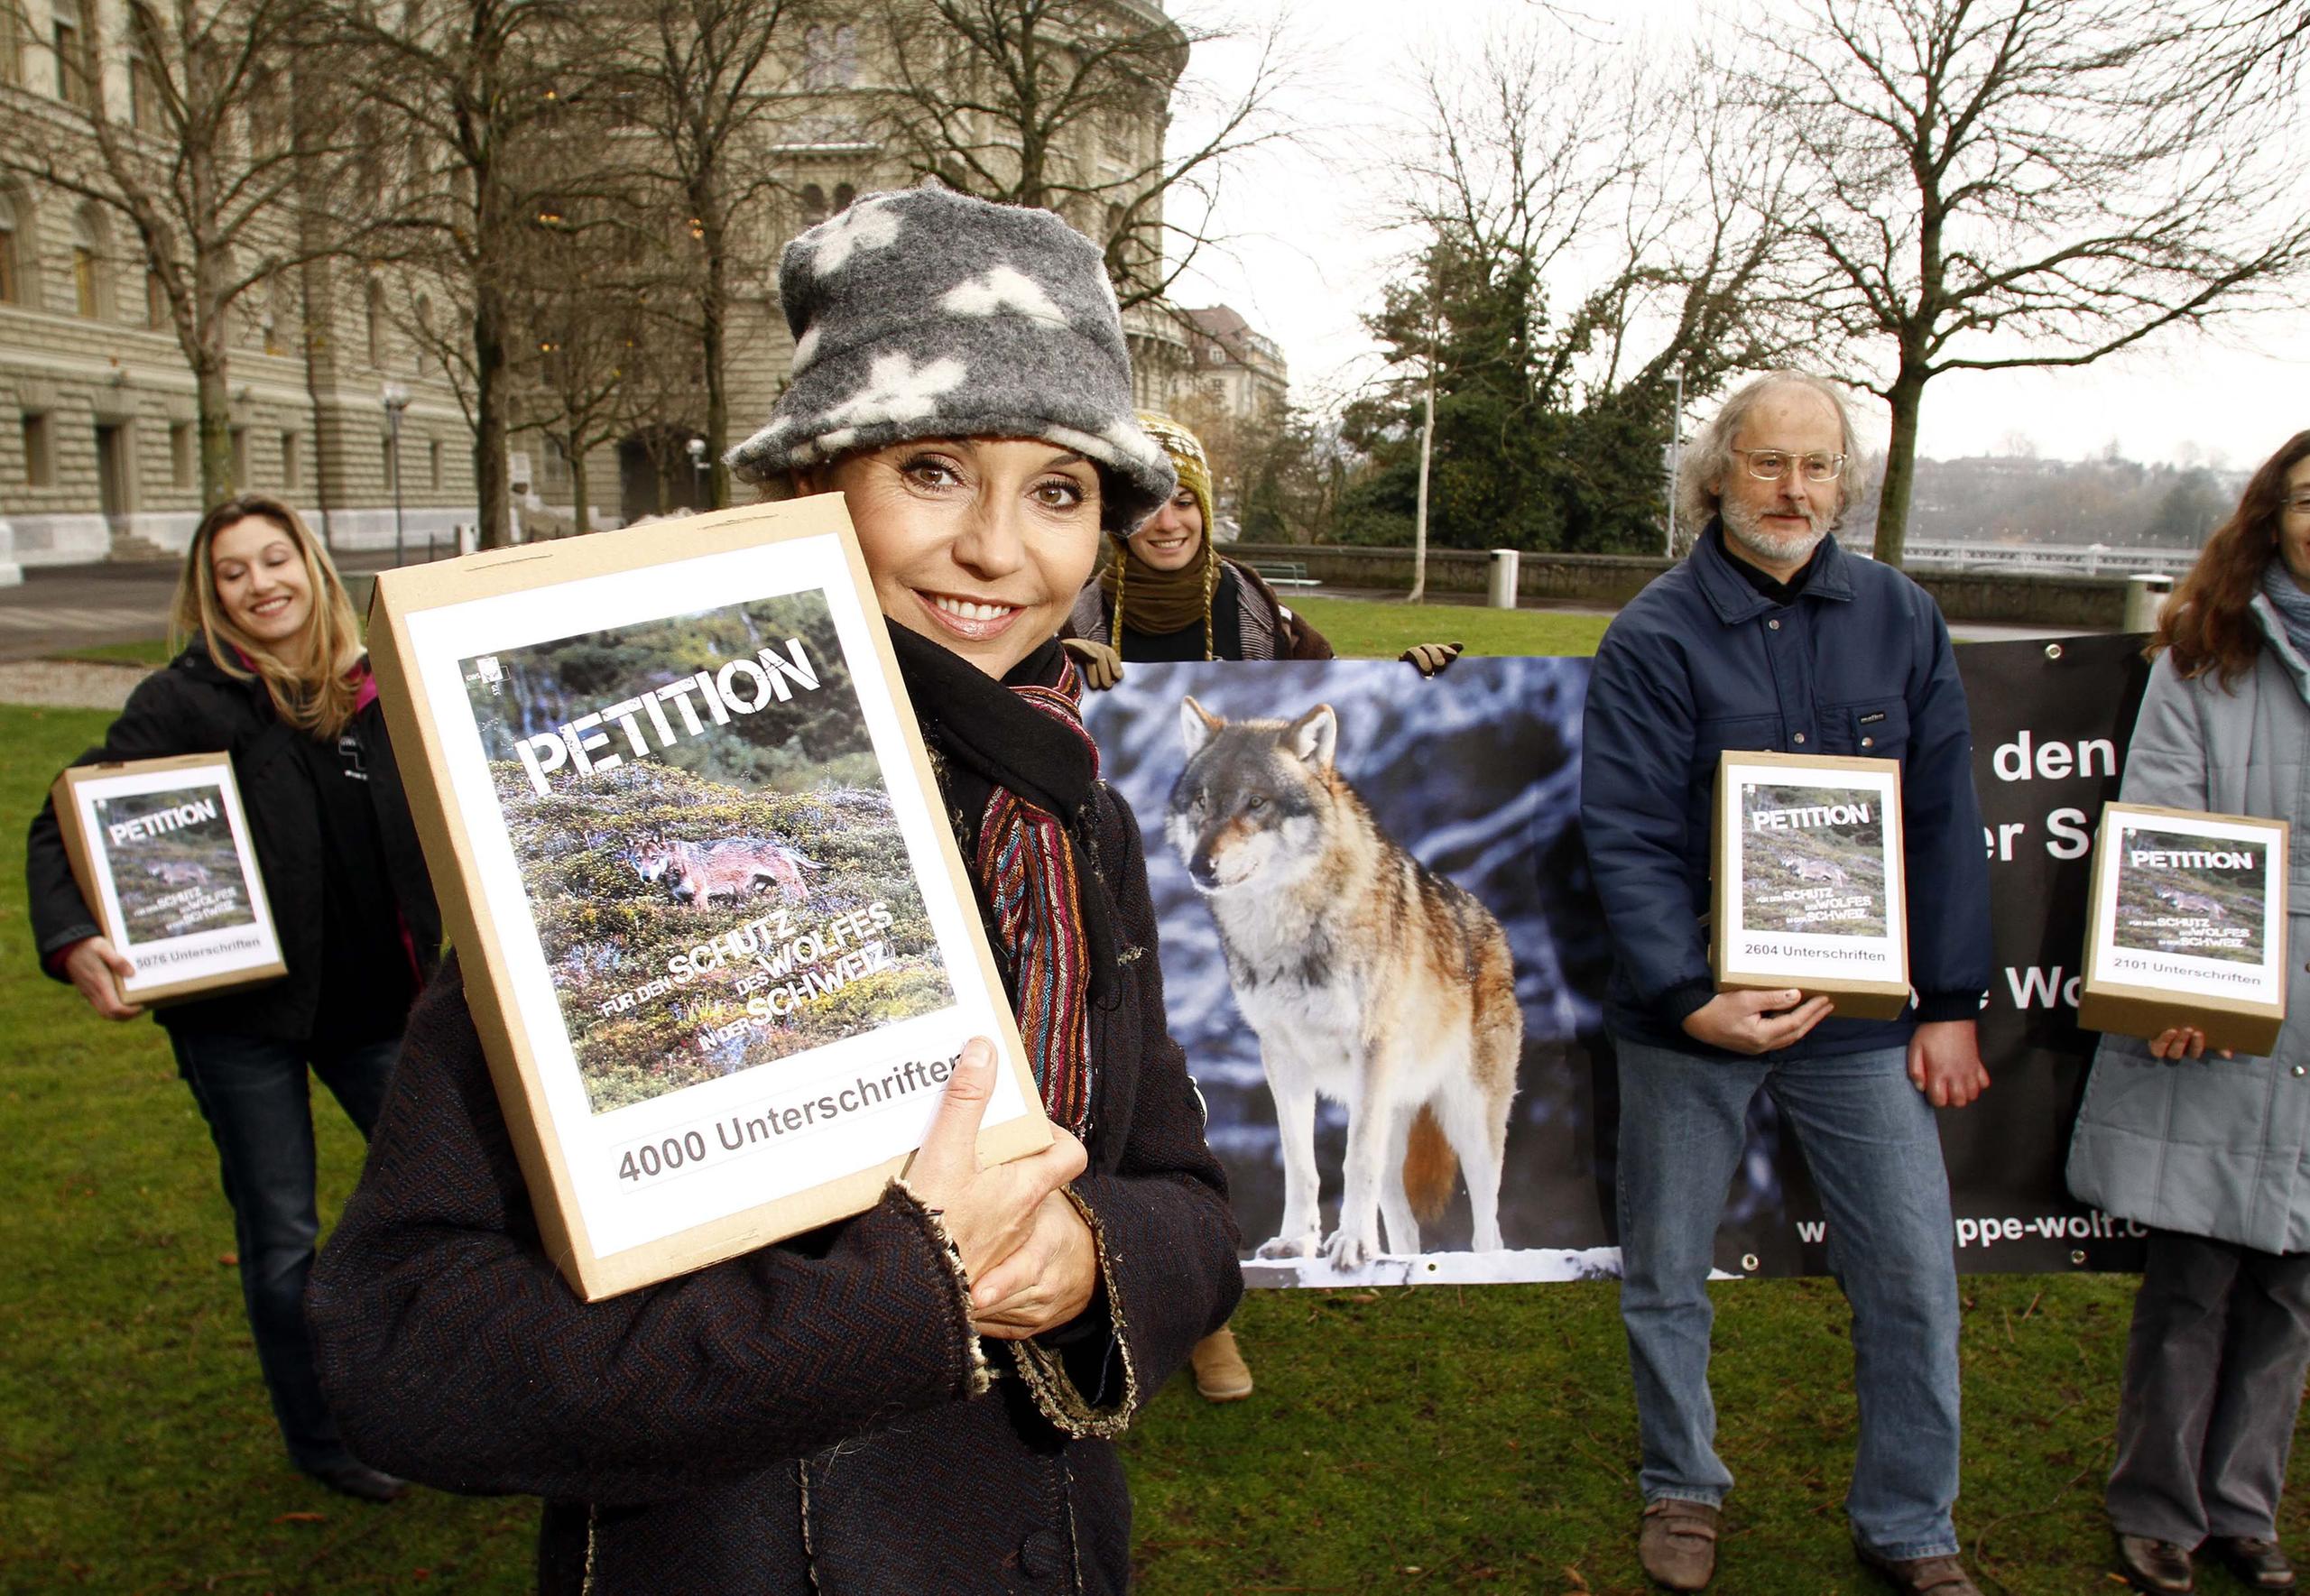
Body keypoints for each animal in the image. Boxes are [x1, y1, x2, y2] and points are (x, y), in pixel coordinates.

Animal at [1173, 697, 1515, 1275]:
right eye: (1201, 802)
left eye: (1256, 802)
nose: (1201, 865)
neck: (1285, 932)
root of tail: (1490, 919)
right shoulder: (1280, 1056)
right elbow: (1301, 1165)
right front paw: (1296, 1242)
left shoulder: (1370, 1049)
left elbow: (1355, 1161)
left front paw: (1350, 1244)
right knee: (1404, 1223)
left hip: (1470, 1120)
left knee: (1489, 1226)